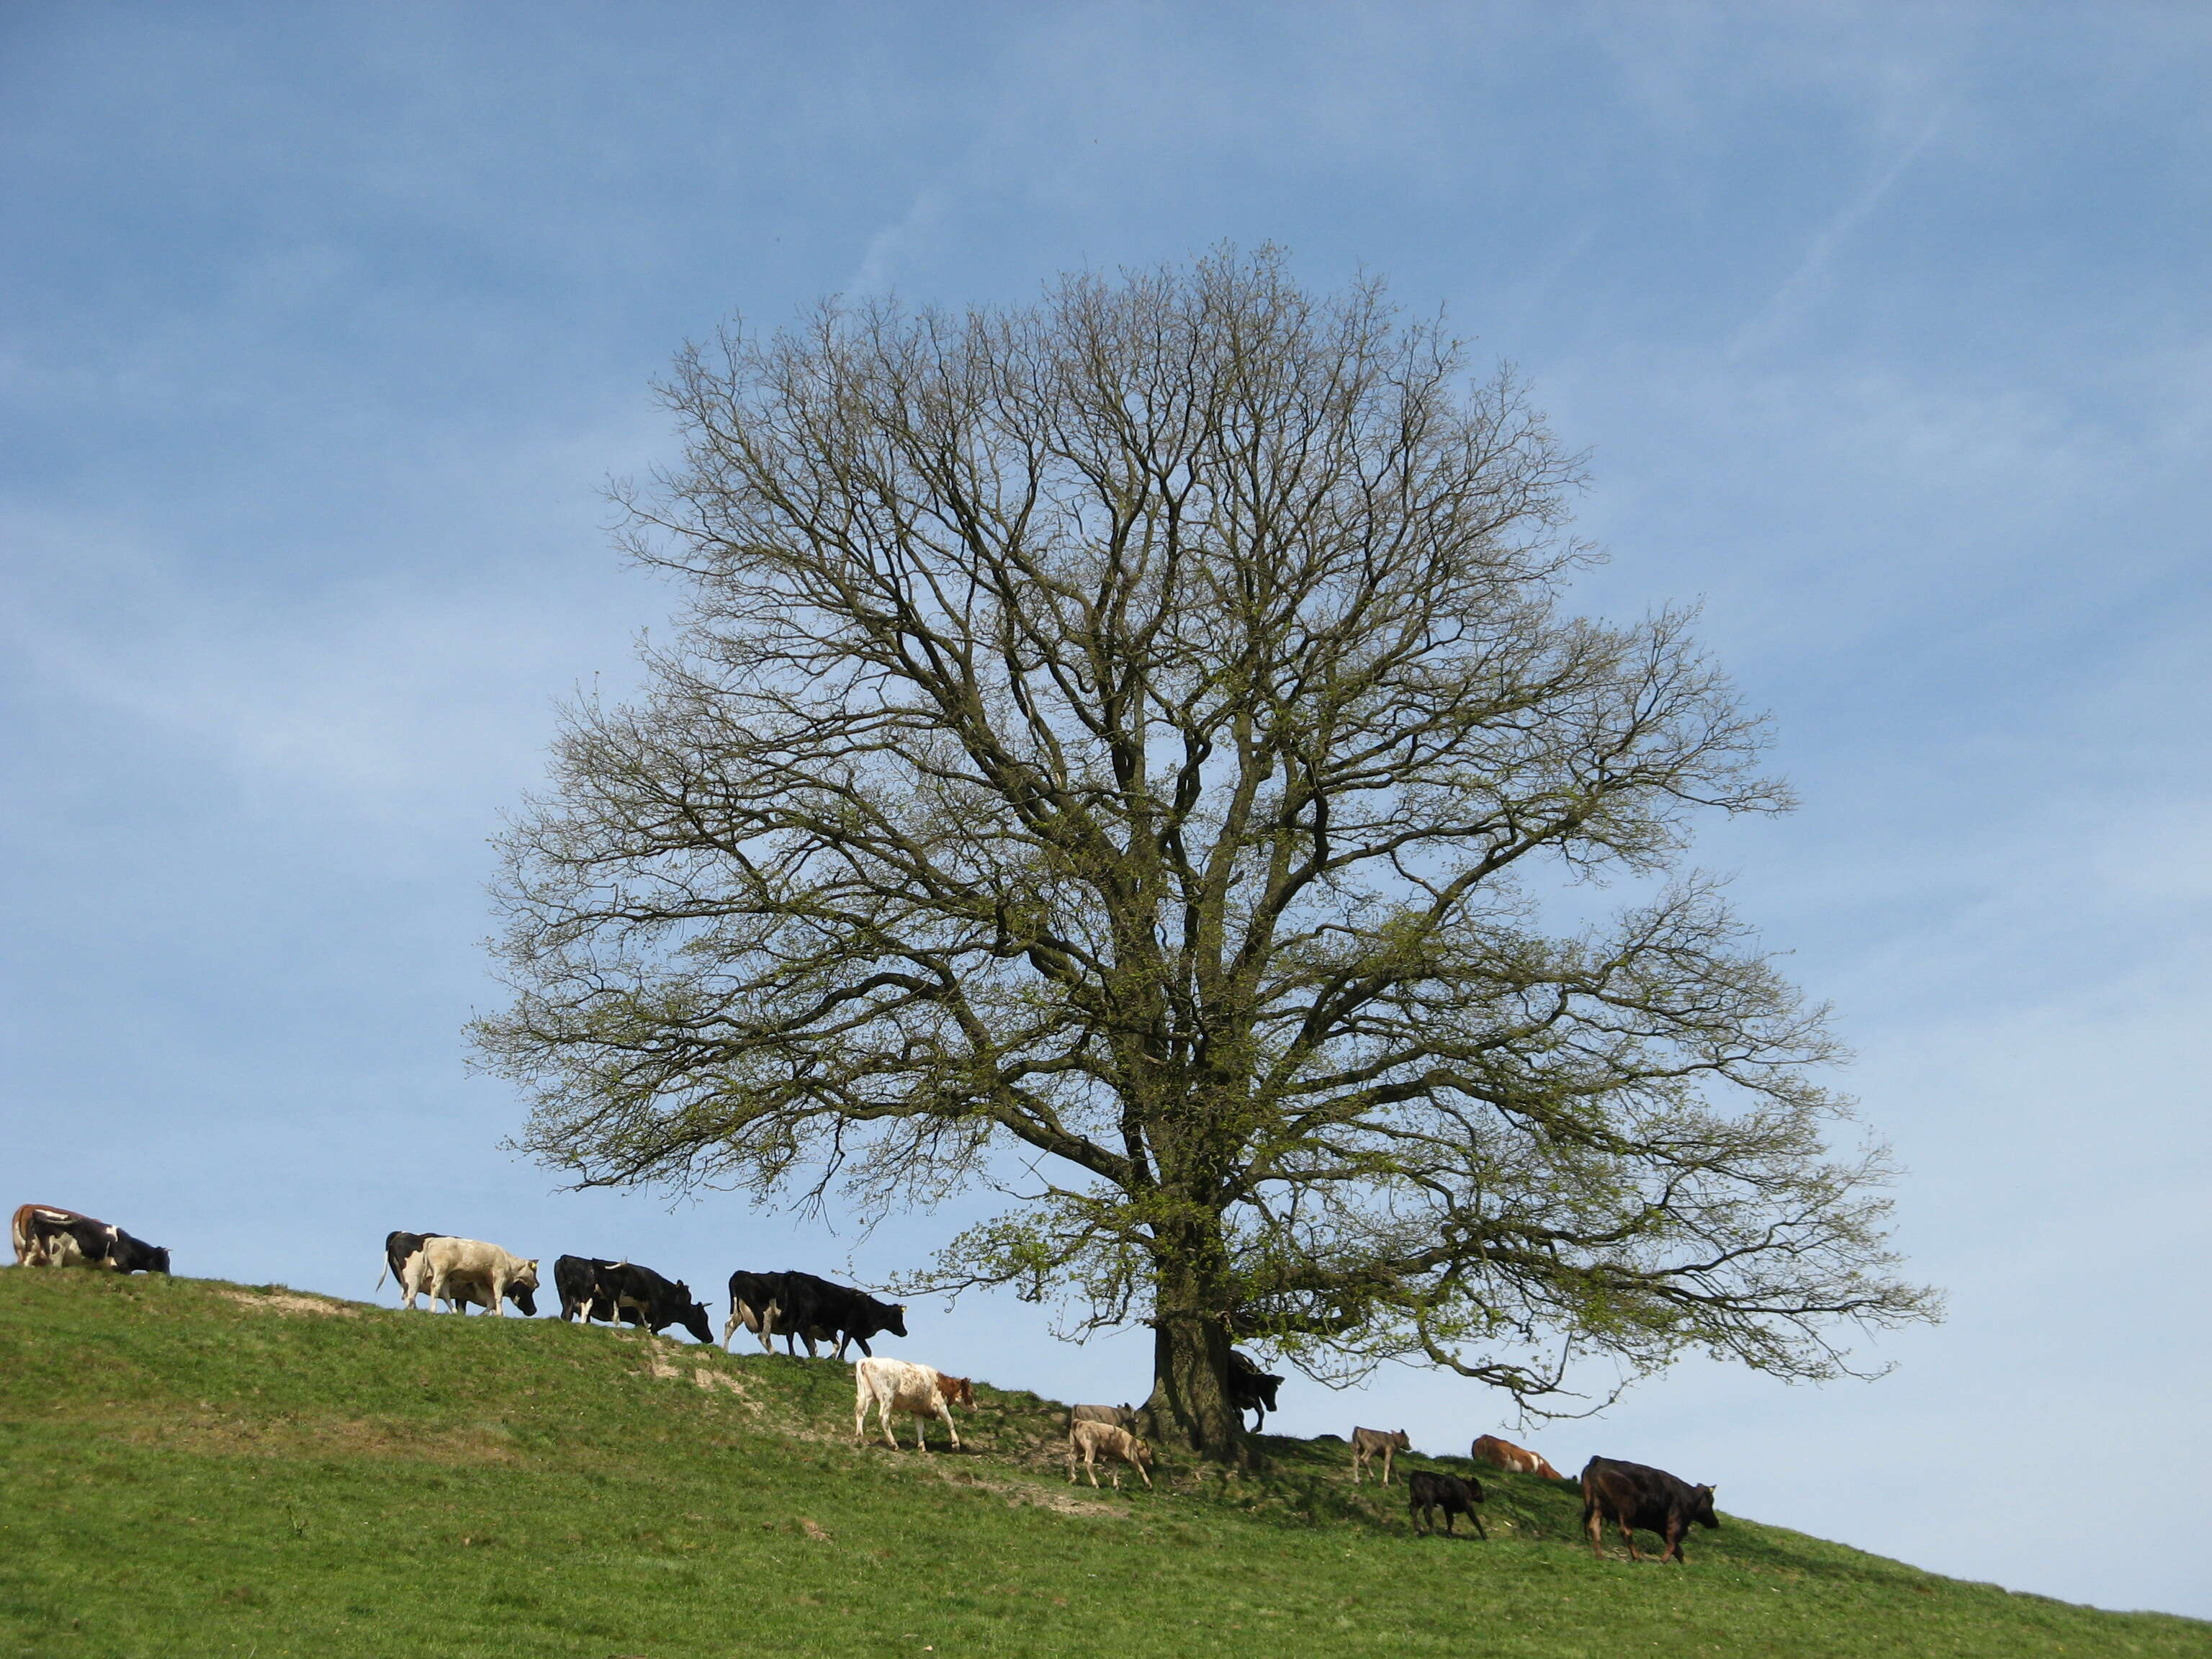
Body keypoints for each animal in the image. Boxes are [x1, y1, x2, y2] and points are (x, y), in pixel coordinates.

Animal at [550, 1256, 708, 1354]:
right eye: (704, 1317)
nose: (710, 1338)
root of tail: (566, 1258)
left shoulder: (643, 1309)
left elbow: (645, 1324)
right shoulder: (655, 1308)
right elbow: (650, 1326)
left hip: (566, 1297)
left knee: (567, 1314)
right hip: (588, 1292)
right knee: (586, 1309)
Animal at [853, 1362, 977, 1451]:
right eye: (971, 1392)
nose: (976, 1408)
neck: (941, 1383)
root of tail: (868, 1361)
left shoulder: (917, 1410)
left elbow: (920, 1427)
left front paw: (922, 1446)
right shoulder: (940, 1405)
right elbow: (950, 1421)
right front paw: (956, 1444)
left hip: (868, 1395)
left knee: (861, 1412)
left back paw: (860, 1435)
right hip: (887, 1397)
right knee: (883, 1417)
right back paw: (893, 1444)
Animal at [1583, 1460, 1716, 1565]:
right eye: (1711, 1500)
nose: (1715, 1523)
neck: (1690, 1496)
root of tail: (1599, 1460)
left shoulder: (1662, 1527)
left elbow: (1678, 1549)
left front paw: (1683, 1564)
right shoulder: (1676, 1521)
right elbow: (1673, 1543)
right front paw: (1663, 1561)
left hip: (1597, 1505)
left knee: (1595, 1527)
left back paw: (1600, 1556)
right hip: (1626, 1507)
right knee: (1626, 1531)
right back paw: (1637, 1557)